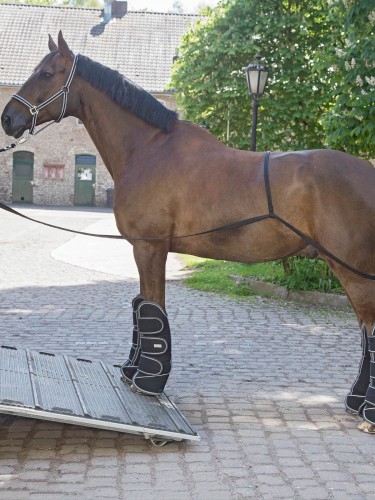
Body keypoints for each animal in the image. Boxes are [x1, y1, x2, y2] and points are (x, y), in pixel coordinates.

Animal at [2, 31, 375, 432]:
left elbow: (153, 308)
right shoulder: (146, 249)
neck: (148, 149)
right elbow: (143, 307)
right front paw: (133, 371)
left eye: (46, 73)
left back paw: (367, 411)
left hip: (352, 269)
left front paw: (147, 382)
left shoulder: (149, 247)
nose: (8, 118)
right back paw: (356, 402)